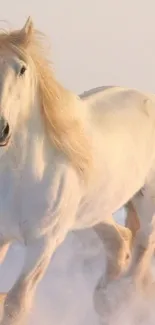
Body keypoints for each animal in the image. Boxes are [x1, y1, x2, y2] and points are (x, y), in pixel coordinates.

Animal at [0, 15, 155, 324]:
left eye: (21, 69)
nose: (0, 129)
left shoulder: (43, 244)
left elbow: (15, 305)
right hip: (93, 211)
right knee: (119, 241)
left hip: (147, 202)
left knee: (142, 248)